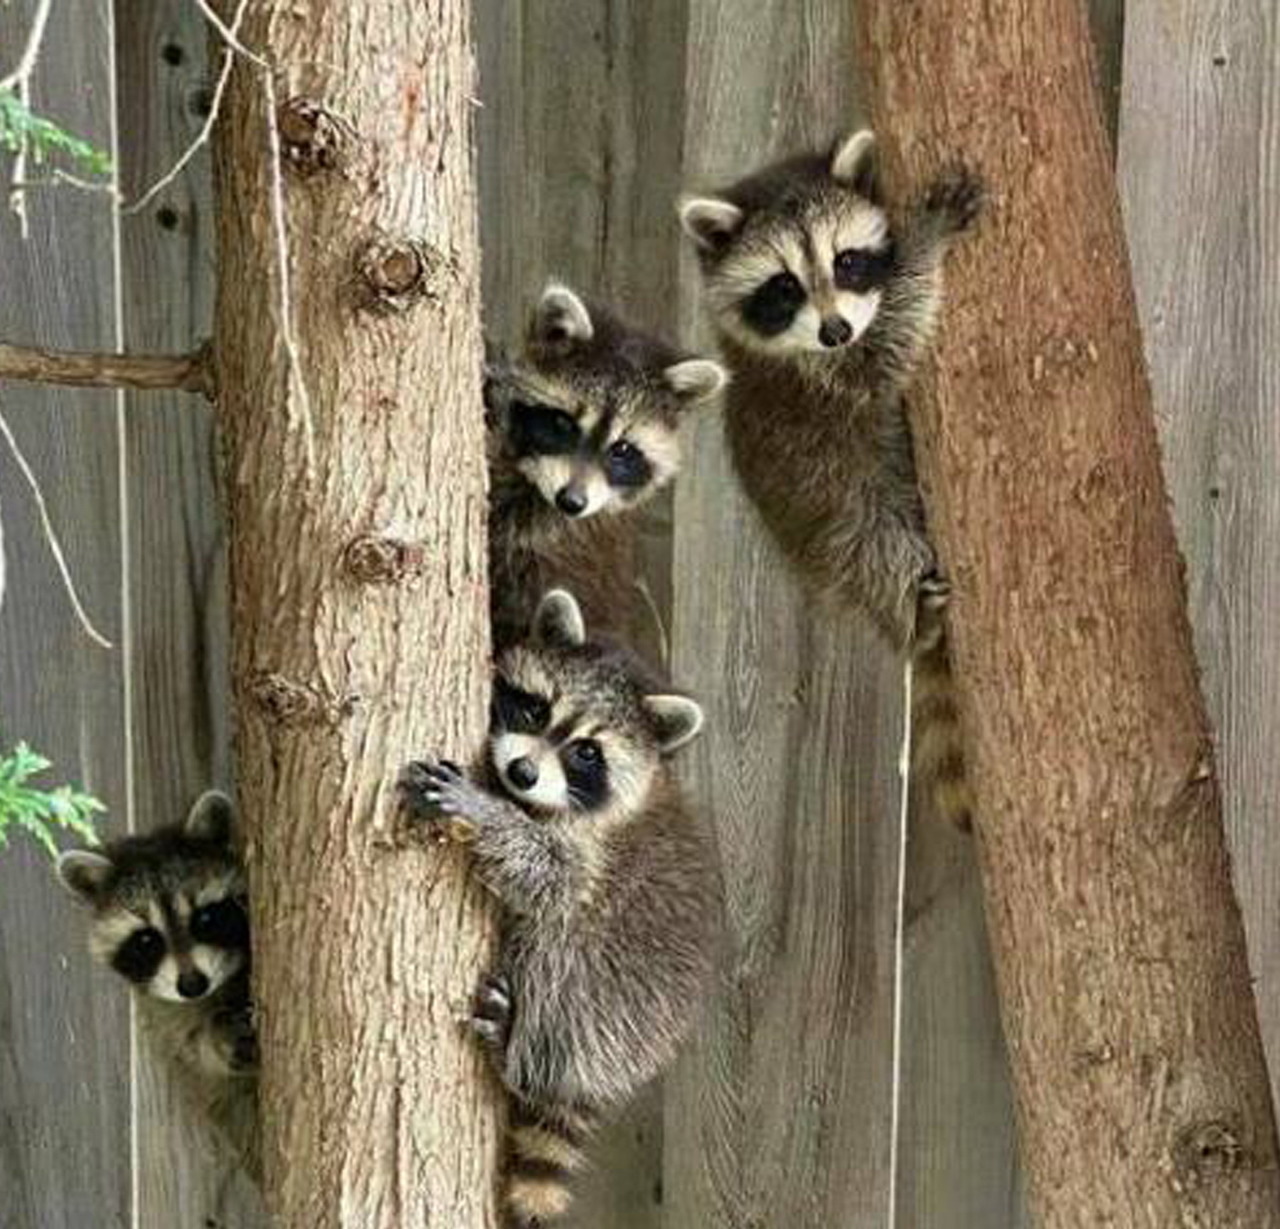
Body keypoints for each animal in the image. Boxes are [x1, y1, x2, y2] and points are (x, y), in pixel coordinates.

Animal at [56, 791, 260, 1176]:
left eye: (205, 918)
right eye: (147, 940)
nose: (192, 985)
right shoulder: (165, 1010)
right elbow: (194, 1048)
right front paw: (216, 1040)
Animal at [400, 589, 721, 1228]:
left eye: (586, 754)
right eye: (534, 710)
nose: (521, 772)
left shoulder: (593, 860)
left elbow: (549, 879)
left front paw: (483, 812)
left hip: (606, 1000)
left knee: (553, 950)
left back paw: (517, 1053)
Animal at [678, 129, 983, 828]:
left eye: (846, 262)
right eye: (782, 287)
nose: (835, 328)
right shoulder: (827, 382)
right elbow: (886, 346)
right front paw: (925, 244)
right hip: (842, 528)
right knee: (876, 548)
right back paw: (913, 617)